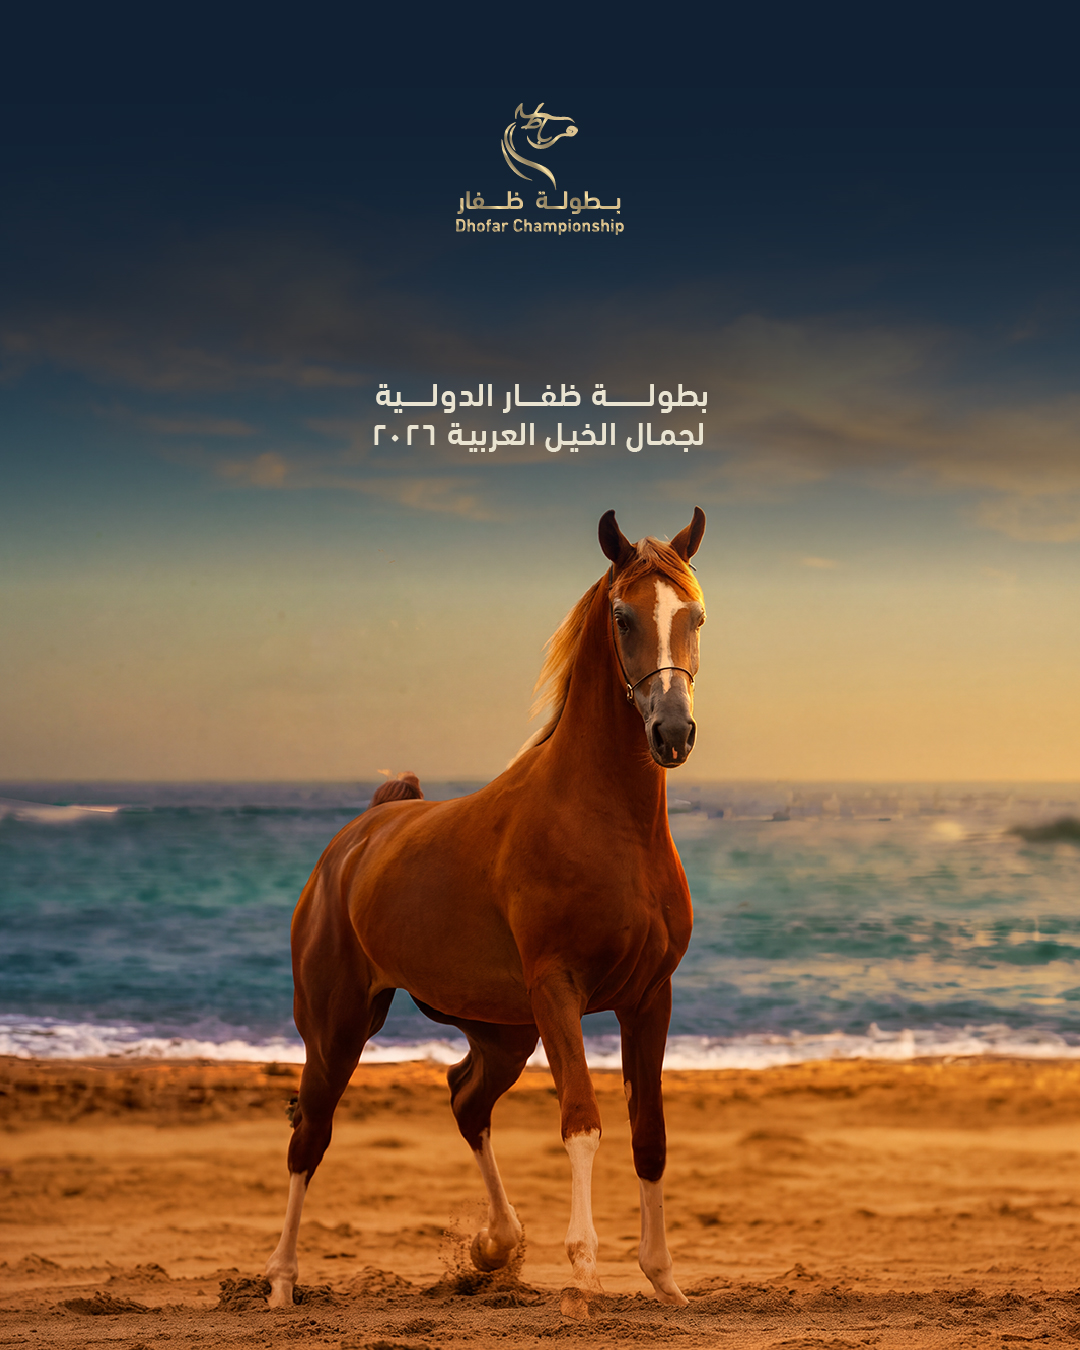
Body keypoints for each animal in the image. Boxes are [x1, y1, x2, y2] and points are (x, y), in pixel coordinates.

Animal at [265, 507, 707, 1311]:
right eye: (623, 616)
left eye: (694, 615)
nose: (672, 733)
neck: (604, 822)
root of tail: (359, 835)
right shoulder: (559, 990)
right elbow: (583, 1122)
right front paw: (583, 1276)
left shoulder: (648, 997)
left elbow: (648, 1133)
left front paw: (664, 1281)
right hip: (338, 1025)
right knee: (309, 1132)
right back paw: (281, 1281)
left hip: (502, 1033)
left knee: (465, 1099)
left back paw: (495, 1244)